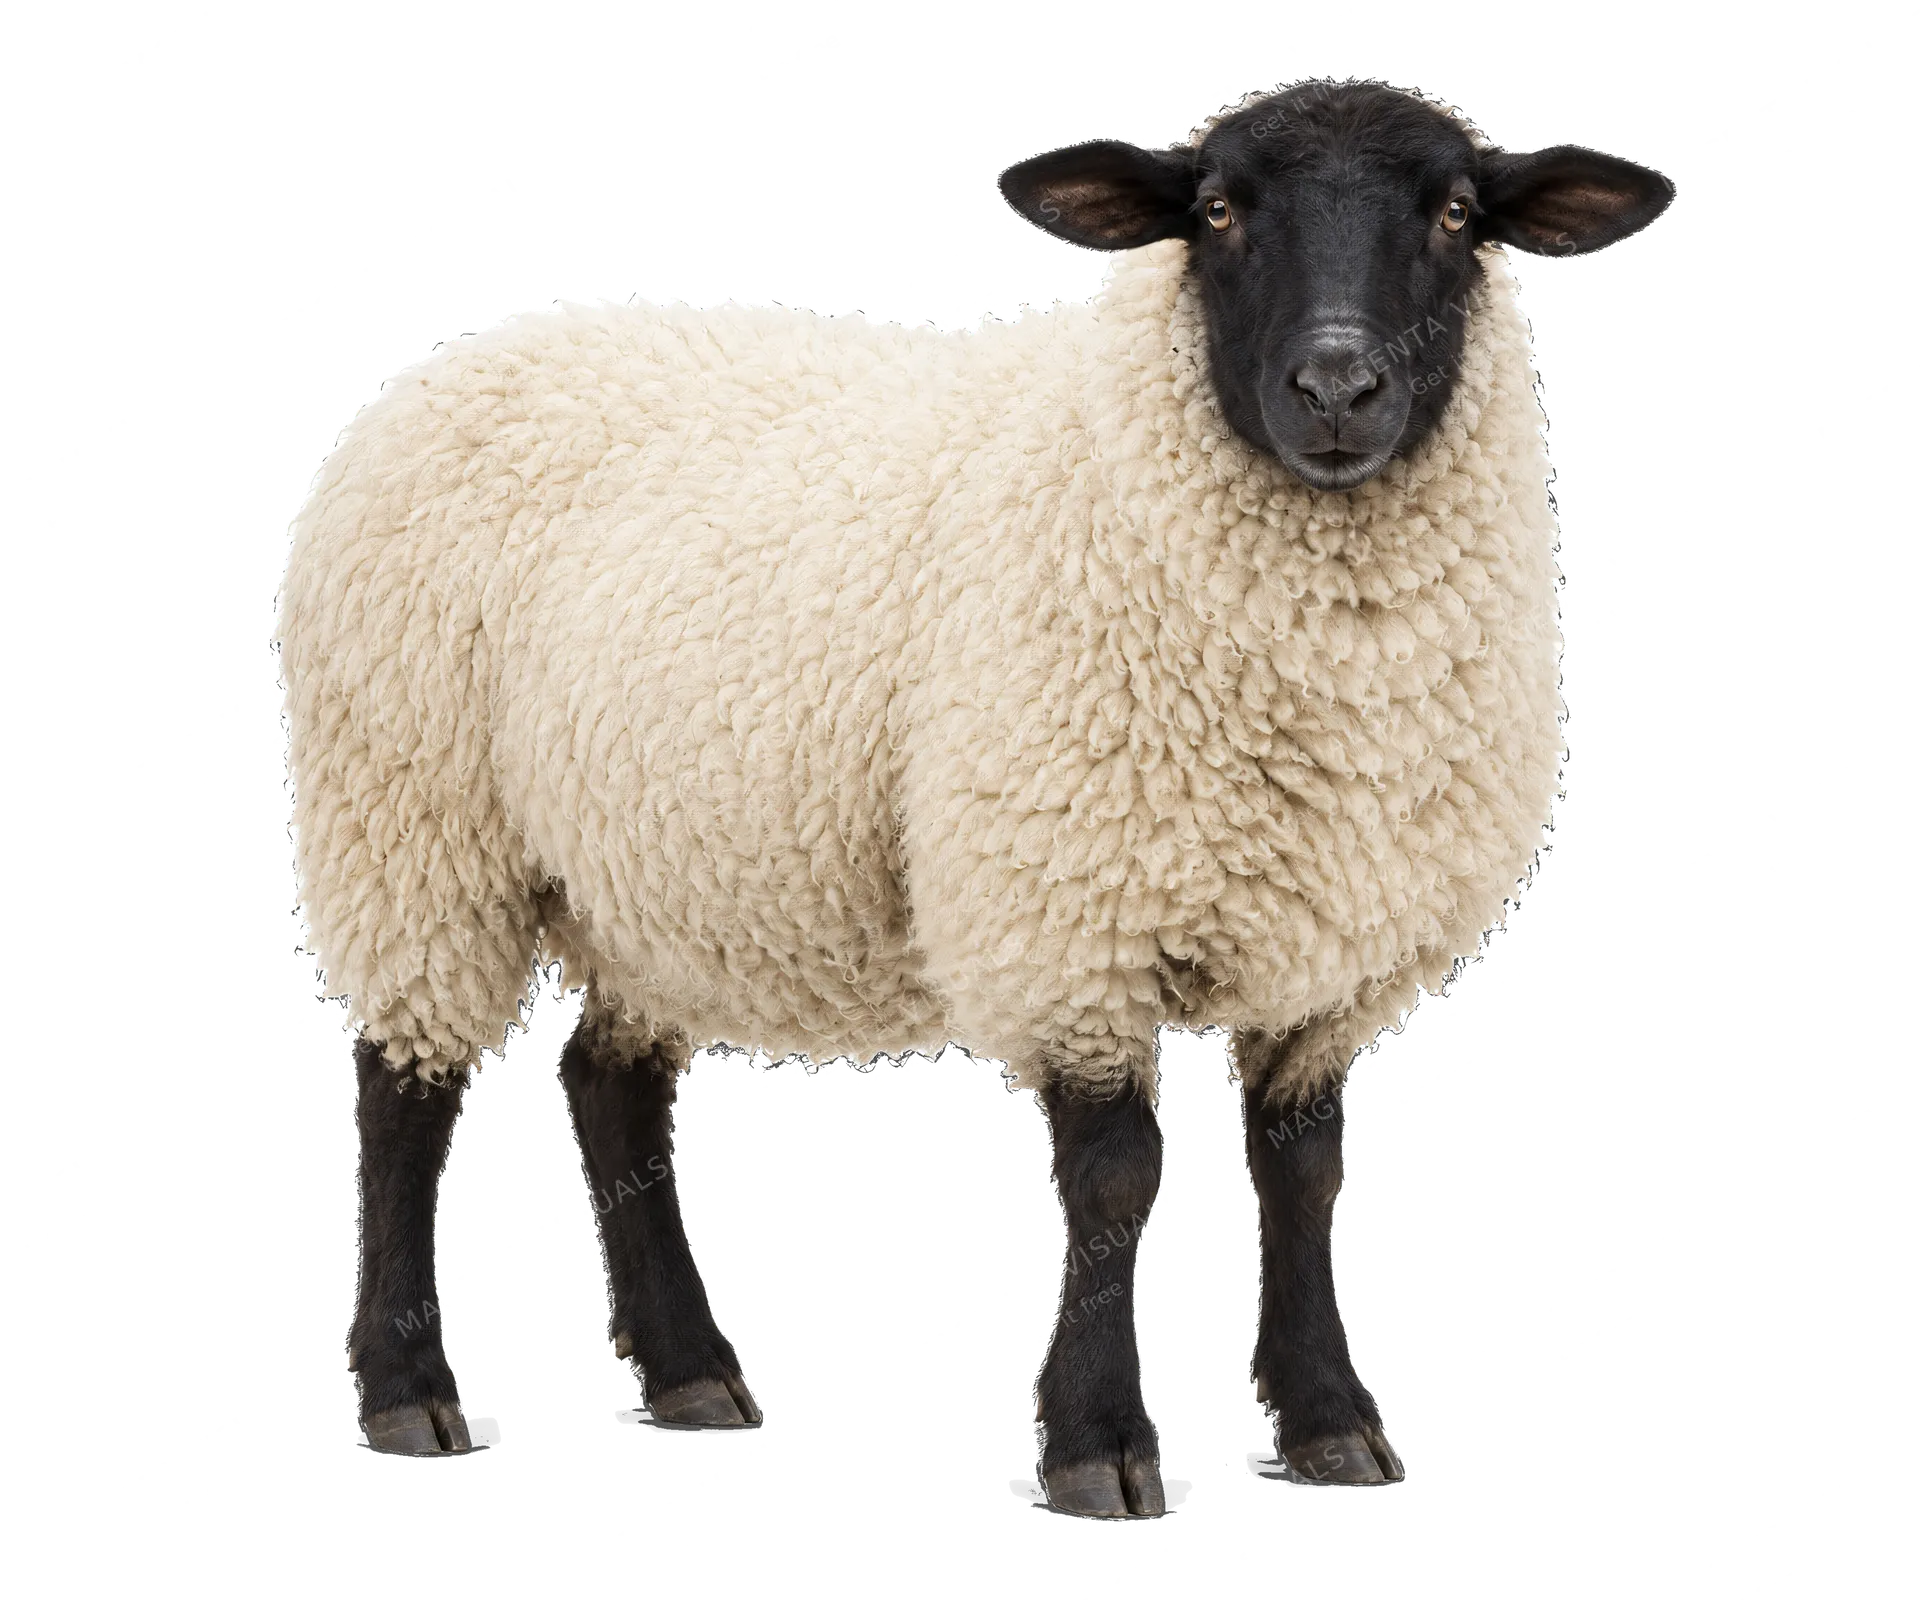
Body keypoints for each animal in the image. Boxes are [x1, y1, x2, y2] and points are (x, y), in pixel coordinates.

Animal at [277, 80, 1672, 1498]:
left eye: (1457, 214)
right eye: (1218, 210)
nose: (1338, 387)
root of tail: (464, 353)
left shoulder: (1329, 956)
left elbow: (1303, 1174)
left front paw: (1330, 1418)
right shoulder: (1069, 916)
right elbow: (1114, 1181)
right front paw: (1100, 1449)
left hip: (646, 865)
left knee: (609, 1086)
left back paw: (689, 1373)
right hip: (410, 816)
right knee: (404, 1092)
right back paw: (407, 1392)